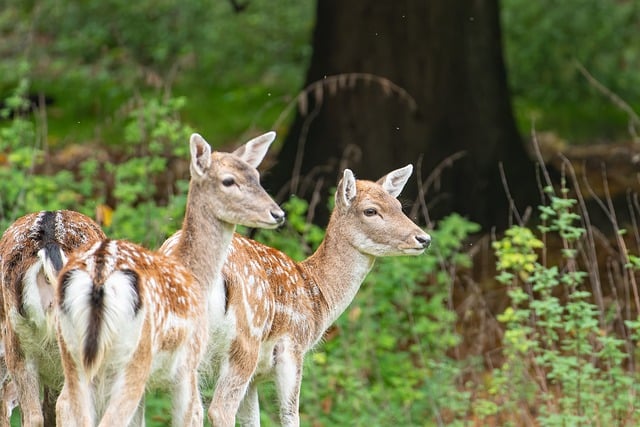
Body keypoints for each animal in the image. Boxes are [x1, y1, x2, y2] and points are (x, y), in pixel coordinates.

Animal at [55, 132, 284, 426]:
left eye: (256, 175)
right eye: (228, 181)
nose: (278, 214)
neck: (195, 275)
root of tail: (97, 279)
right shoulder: (189, 363)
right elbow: (192, 415)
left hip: (71, 354)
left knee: (66, 406)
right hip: (132, 359)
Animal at [160, 165, 432, 427]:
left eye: (398, 206)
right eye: (371, 211)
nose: (424, 238)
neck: (318, 296)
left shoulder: (257, 375)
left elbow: (252, 420)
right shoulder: (293, 346)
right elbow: (290, 414)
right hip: (246, 338)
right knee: (219, 409)